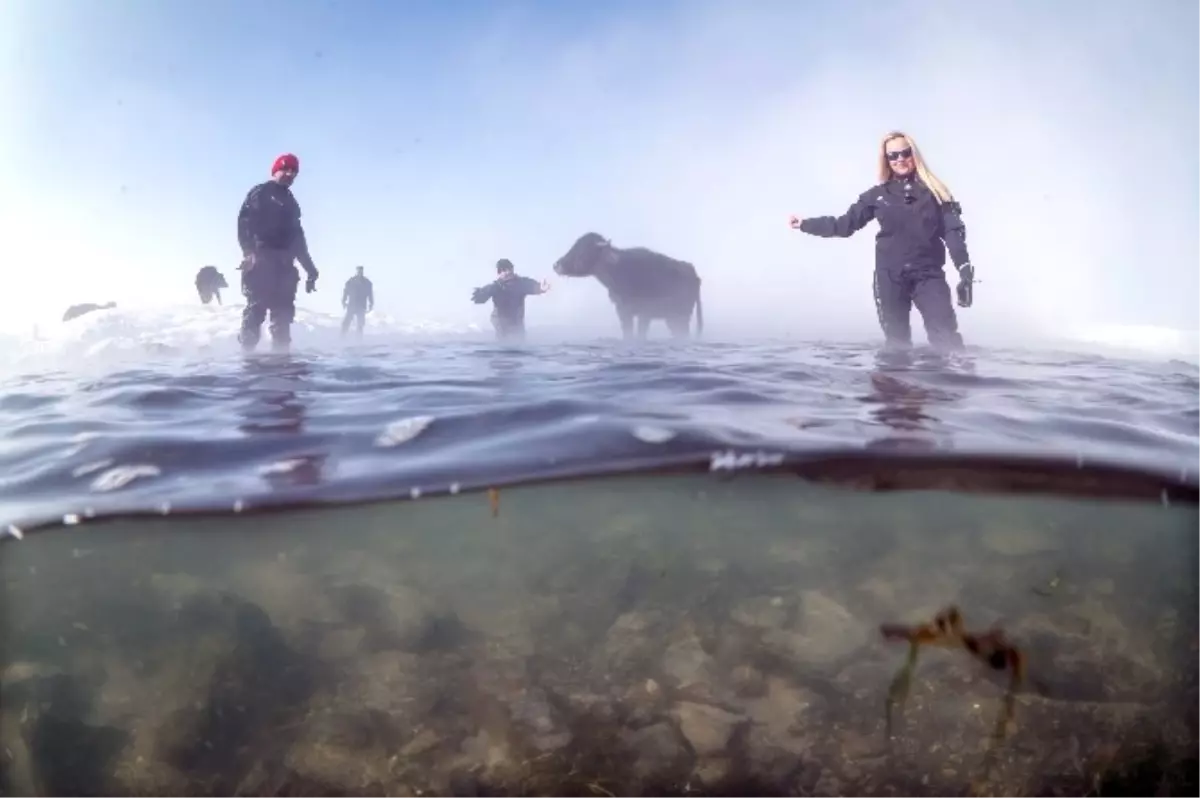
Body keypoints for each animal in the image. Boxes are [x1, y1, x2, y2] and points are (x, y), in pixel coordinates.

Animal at [552, 234, 700, 338]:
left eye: (582, 250)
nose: (556, 265)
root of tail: (692, 271)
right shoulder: (622, 311)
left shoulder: (643, 313)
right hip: (672, 318)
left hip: (681, 316)